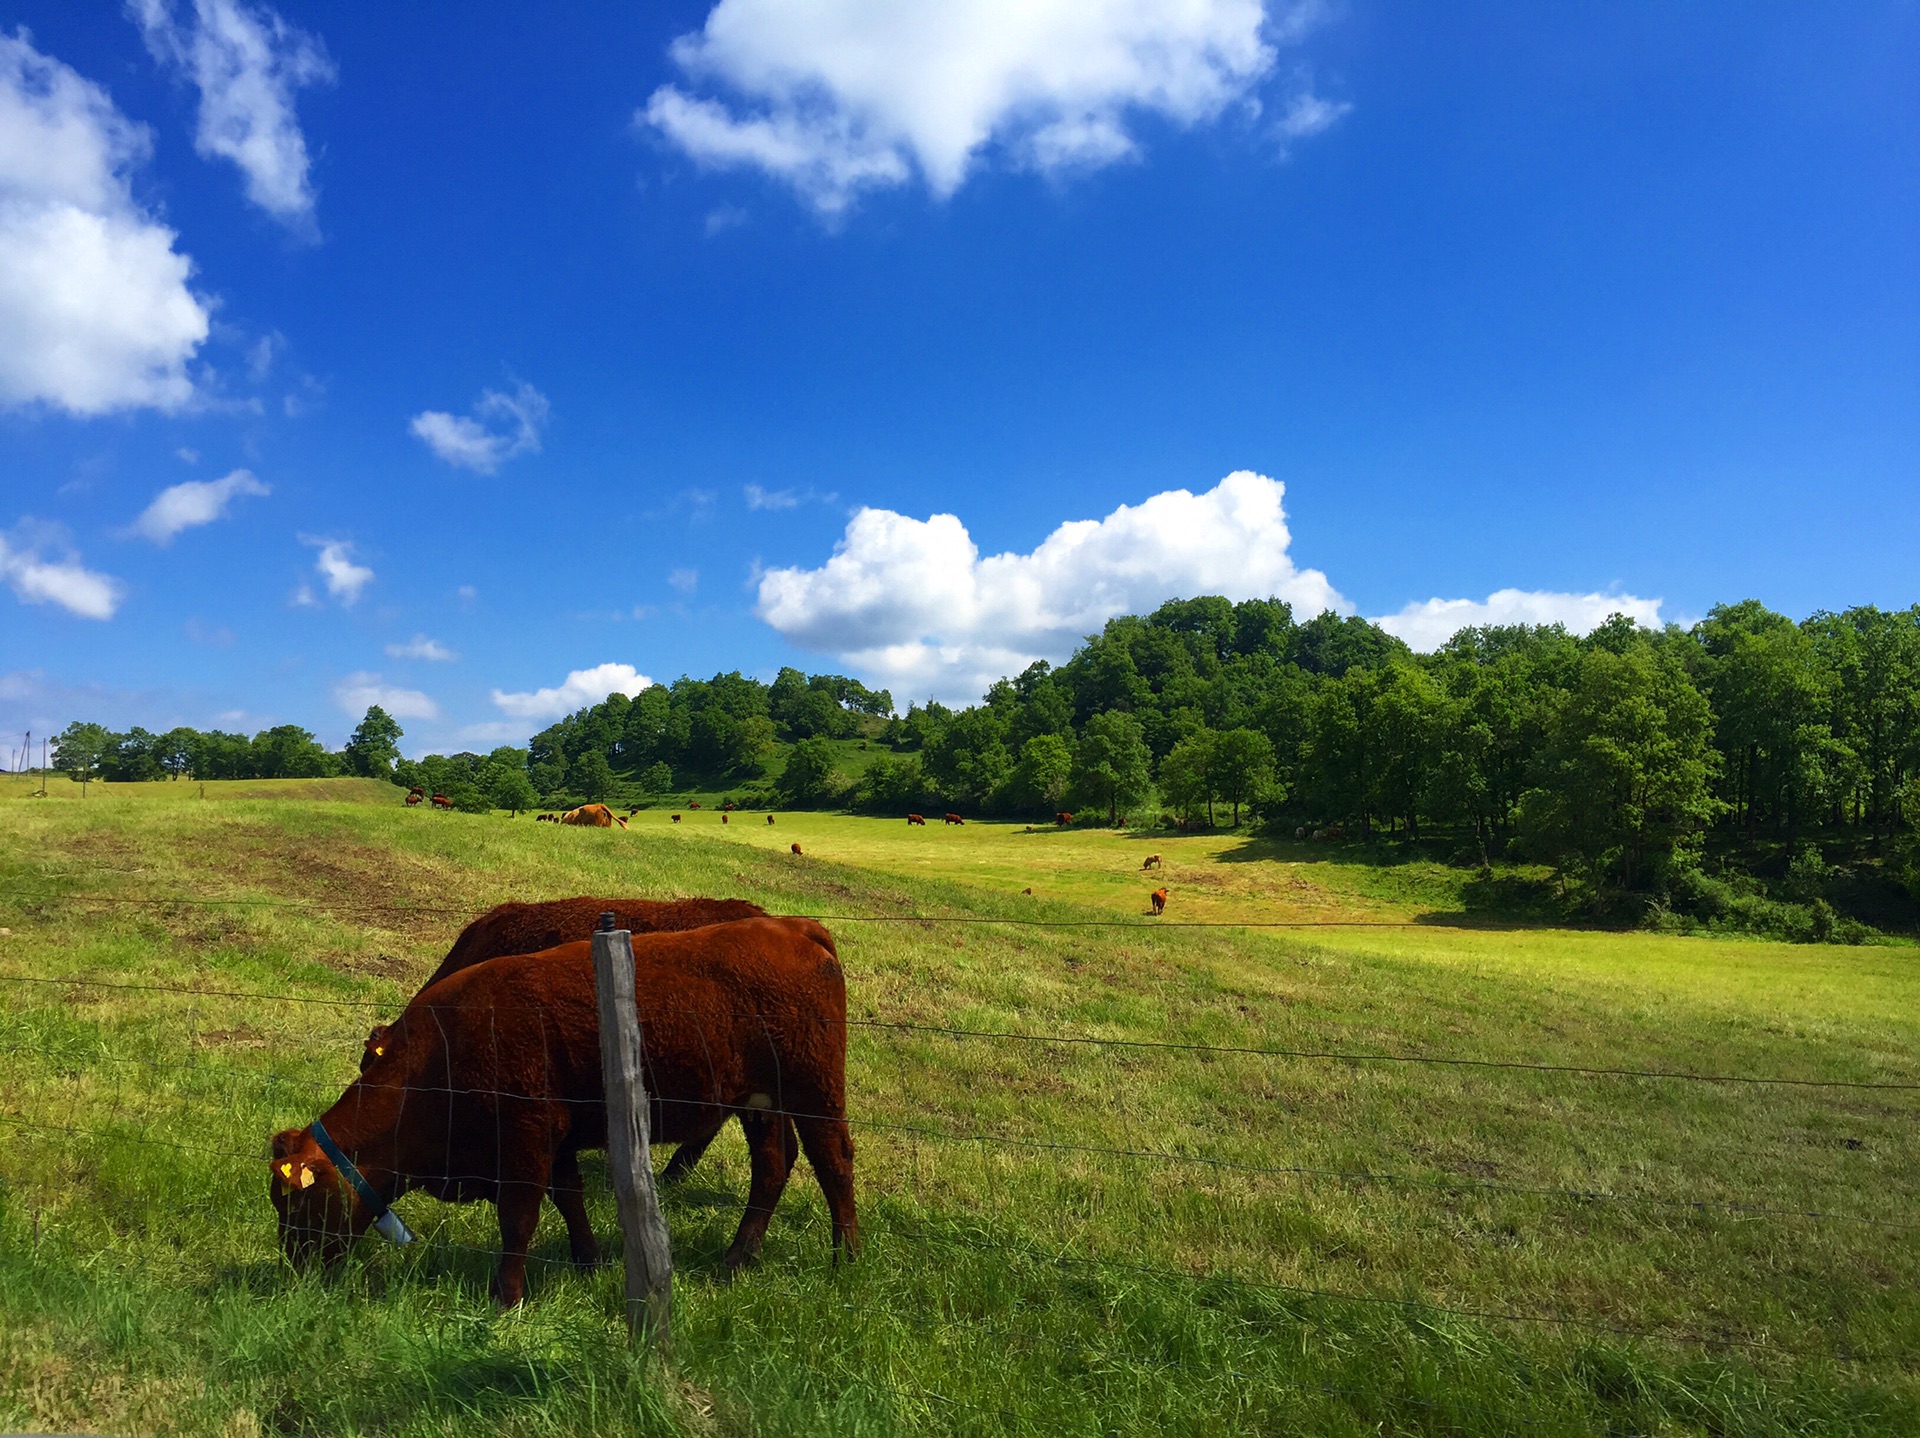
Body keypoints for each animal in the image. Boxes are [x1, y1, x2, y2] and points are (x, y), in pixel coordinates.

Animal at [274, 921, 860, 1297]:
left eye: (295, 1201)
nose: (293, 1262)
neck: (439, 1053)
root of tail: (794, 928)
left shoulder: (526, 1136)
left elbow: (519, 1219)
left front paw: (506, 1296)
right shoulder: (556, 1139)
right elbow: (569, 1200)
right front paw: (588, 1260)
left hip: (815, 1094)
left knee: (833, 1163)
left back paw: (846, 1260)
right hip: (760, 1106)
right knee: (773, 1167)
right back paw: (737, 1259)